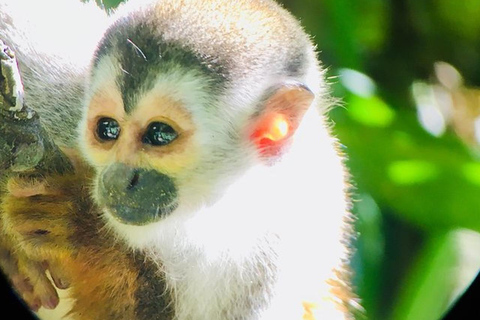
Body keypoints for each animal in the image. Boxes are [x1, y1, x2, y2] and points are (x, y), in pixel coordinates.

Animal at [0, 0, 356, 320]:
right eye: (107, 129)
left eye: (160, 134)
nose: (117, 178)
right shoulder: (58, 87)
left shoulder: (281, 243)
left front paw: (84, 233)